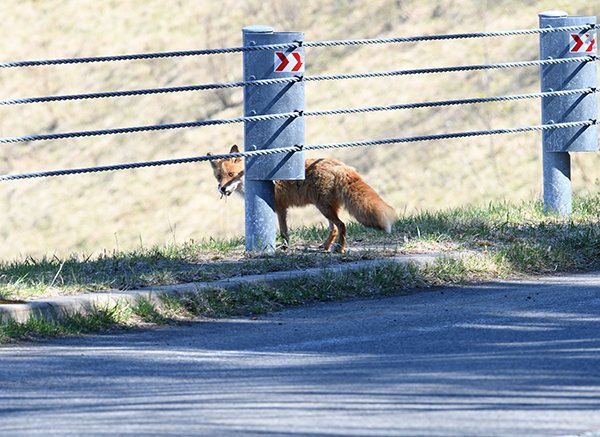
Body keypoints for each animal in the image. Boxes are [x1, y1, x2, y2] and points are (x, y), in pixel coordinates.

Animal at [209, 144, 396, 252]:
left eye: (231, 174)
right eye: (218, 177)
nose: (222, 188)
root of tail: (340, 165)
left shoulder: (280, 208)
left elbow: (284, 232)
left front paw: (284, 249)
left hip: (324, 208)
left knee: (342, 226)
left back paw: (339, 249)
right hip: (326, 208)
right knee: (335, 228)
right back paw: (325, 247)